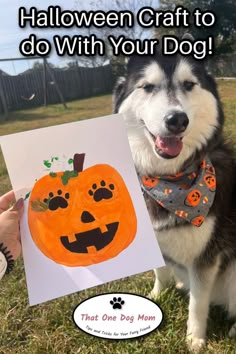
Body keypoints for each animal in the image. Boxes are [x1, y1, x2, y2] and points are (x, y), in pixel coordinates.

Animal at [112, 50, 236, 352]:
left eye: (189, 84)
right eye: (147, 87)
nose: (176, 120)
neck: (167, 181)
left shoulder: (206, 257)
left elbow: (198, 303)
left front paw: (195, 339)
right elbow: (160, 270)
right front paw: (157, 294)